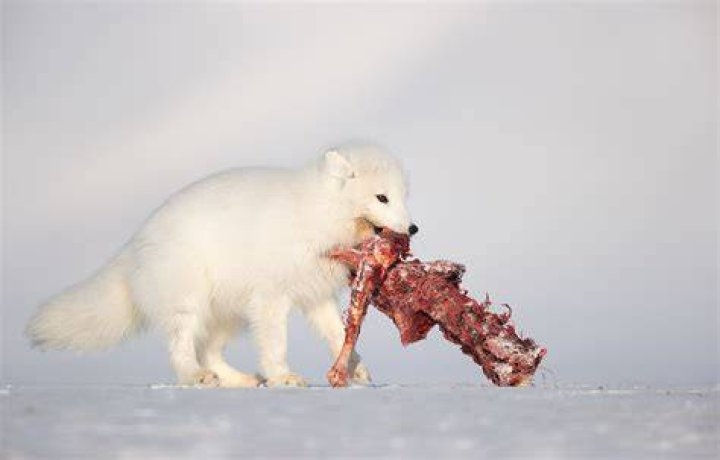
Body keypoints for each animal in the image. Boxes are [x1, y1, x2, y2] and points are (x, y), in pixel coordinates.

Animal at [27, 145, 417, 387]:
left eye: (403, 196)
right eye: (381, 197)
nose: (413, 228)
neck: (316, 214)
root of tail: (137, 241)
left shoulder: (315, 294)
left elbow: (338, 335)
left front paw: (356, 369)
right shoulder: (271, 295)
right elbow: (276, 343)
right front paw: (283, 376)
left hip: (230, 313)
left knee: (209, 351)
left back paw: (239, 380)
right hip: (190, 299)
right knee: (182, 347)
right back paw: (195, 376)